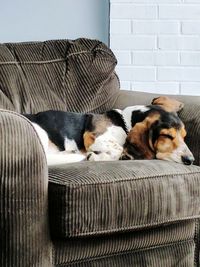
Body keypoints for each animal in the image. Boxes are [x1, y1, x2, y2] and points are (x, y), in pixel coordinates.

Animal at [23, 97, 194, 166]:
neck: (123, 122)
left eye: (184, 136)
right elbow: (118, 148)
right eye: (167, 135)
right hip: (41, 133)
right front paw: (95, 156)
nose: (191, 160)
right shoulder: (93, 136)